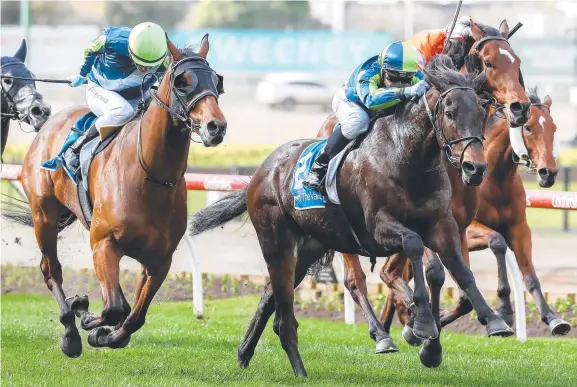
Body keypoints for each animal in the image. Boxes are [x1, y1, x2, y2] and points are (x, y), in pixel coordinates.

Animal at [2, 35, 227, 358]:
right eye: (182, 82)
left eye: (217, 81)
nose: (215, 126)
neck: (149, 176)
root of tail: (49, 124)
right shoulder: (104, 243)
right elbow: (114, 309)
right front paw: (85, 316)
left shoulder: (160, 259)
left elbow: (134, 316)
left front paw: (105, 333)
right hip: (43, 215)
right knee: (51, 270)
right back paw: (70, 331)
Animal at [189, 56, 508, 378]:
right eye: (450, 113)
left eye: (482, 111)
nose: (475, 168)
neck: (406, 157)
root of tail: (262, 170)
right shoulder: (378, 228)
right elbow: (414, 245)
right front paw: (421, 323)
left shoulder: (442, 225)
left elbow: (459, 271)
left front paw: (492, 320)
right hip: (275, 242)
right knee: (290, 308)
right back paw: (306, 367)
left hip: (309, 247)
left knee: (270, 292)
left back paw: (244, 354)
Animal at [378, 87, 568, 336]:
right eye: (528, 127)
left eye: (554, 128)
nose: (549, 172)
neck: (497, 178)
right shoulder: (465, 229)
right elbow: (497, 241)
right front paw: (504, 309)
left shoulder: (519, 228)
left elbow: (529, 274)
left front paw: (552, 317)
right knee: (393, 272)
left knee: (394, 272)